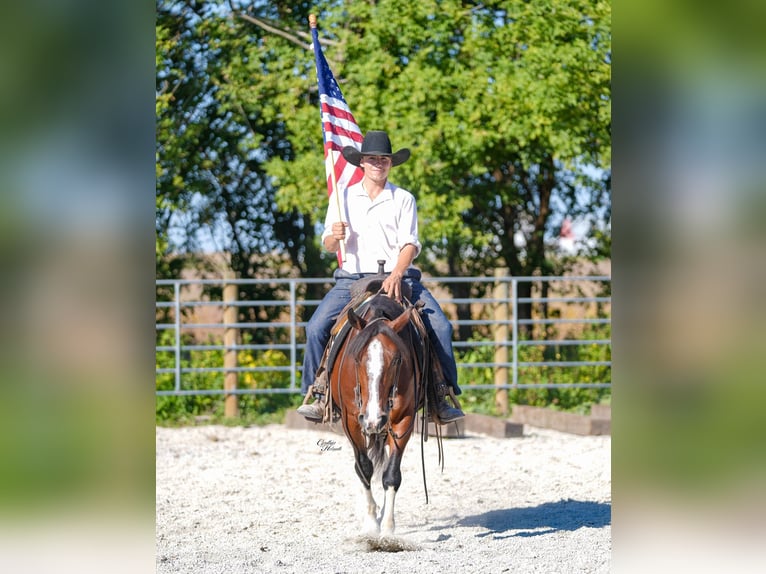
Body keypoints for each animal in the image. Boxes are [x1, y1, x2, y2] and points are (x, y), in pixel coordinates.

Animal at [328, 292, 426, 536]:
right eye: (357, 358)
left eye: (397, 359)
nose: (374, 418)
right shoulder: (351, 421)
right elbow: (363, 467)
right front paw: (371, 522)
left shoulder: (404, 420)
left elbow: (391, 474)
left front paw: (388, 526)